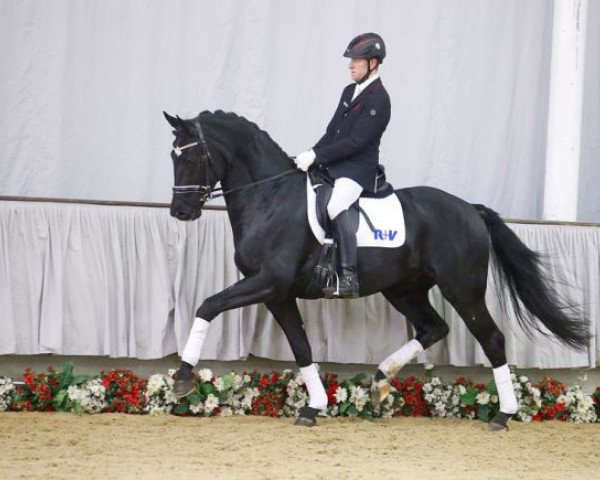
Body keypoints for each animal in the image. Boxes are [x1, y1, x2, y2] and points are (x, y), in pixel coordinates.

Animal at [163, 110, 584, 430]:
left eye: (191, 158)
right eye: (172, 156)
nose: (180, 213)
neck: (270, 197)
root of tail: (470, 209)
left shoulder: (268, 282)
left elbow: (207, 306)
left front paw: (182, 379)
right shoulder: (277, 294)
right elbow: (301, 347)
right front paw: (314, 406)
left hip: (462, 289)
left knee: (492, 339)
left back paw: (502, 415)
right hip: (403, 289)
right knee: (433, 327)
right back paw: (381, 381)